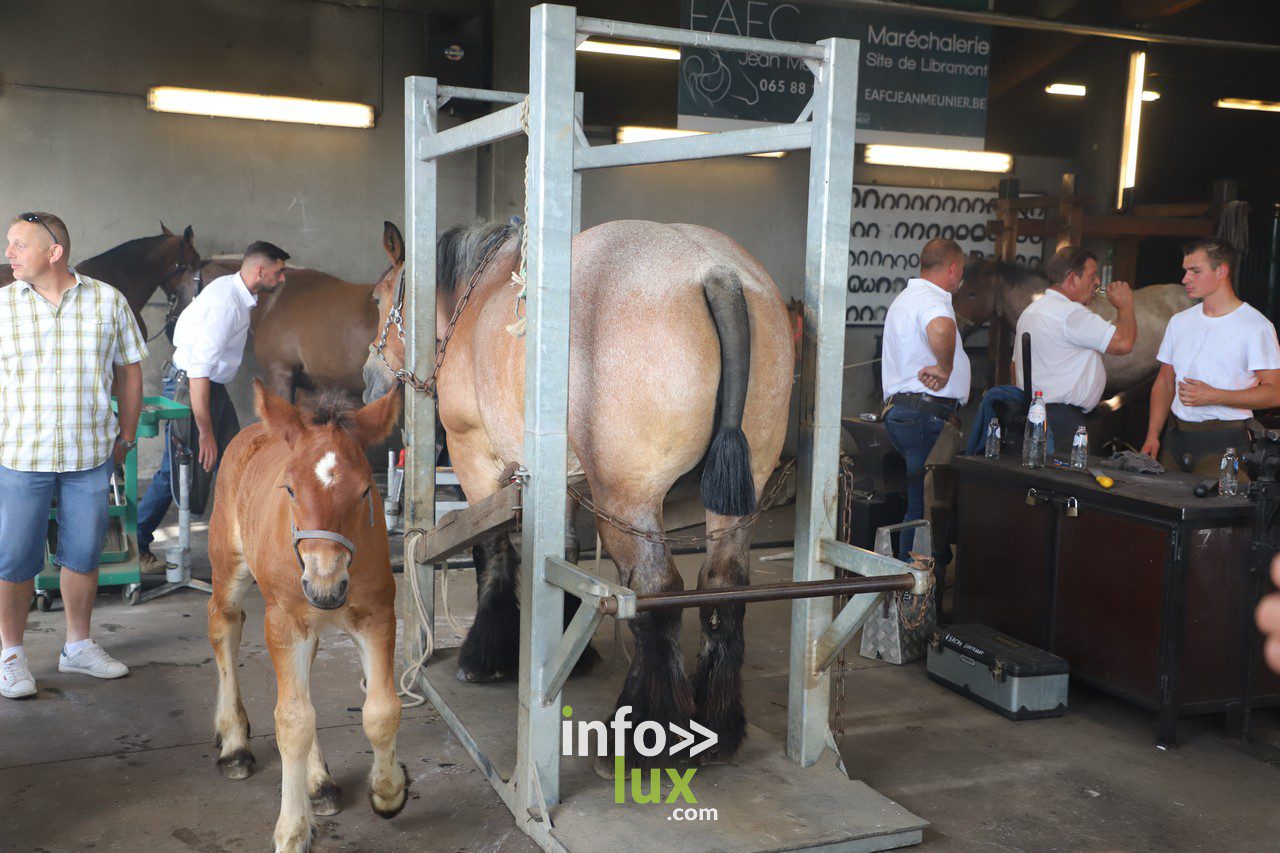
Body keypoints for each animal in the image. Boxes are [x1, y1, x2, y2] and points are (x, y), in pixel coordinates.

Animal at [207, 379, 404, 850]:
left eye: (366, 491)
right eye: (291, 489)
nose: (324, 584)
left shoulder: (377, 614)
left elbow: (380, 710)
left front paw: (388, 793)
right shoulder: (283, 621)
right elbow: (292, 722)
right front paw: (292, 831)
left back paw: (320, 785)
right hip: (227, 563)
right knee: (224, 624)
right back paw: (235, 745)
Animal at [360, 217, 793, 758]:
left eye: (378, 298)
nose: (368, 378)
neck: (478, 295)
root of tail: (717, 272)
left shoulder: (473, 453)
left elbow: (491, 551)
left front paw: (486, 653)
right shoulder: (561, 477)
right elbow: (563, 549)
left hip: (628, 497)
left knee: (656, 591)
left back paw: (644, 729)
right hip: (740, 493)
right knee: (723, 586)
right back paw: (719, 723)